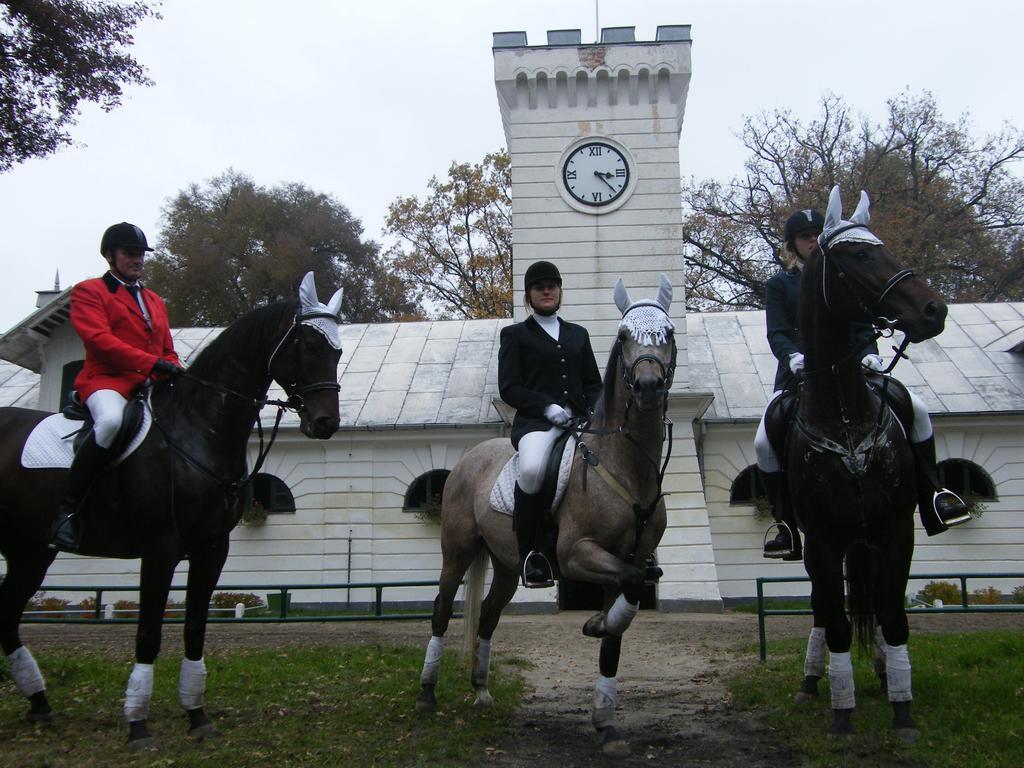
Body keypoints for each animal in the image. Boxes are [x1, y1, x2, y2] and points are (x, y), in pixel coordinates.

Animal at [0, 272, 344, 753]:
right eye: (310, 345)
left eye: (338, 351)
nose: (326, 424)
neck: (198, 428)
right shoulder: (160, 550)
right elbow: (148, 634)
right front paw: (137, 724)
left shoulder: (212, 549)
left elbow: (195, 628)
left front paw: (196, 714)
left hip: (29, 551)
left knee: (6, 617)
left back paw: (39, 704)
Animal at [786, 183, 946, 741]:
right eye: (857, 256)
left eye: (885, 247)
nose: (933, 309)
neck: (845, 416)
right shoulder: (824, 537)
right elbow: (834, 621)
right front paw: (842, 713)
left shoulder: (896, 529)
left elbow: (893, 616)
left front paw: (903, 710)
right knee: (823, 611)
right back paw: (813, 683)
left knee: (874, 604)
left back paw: (880, 672)